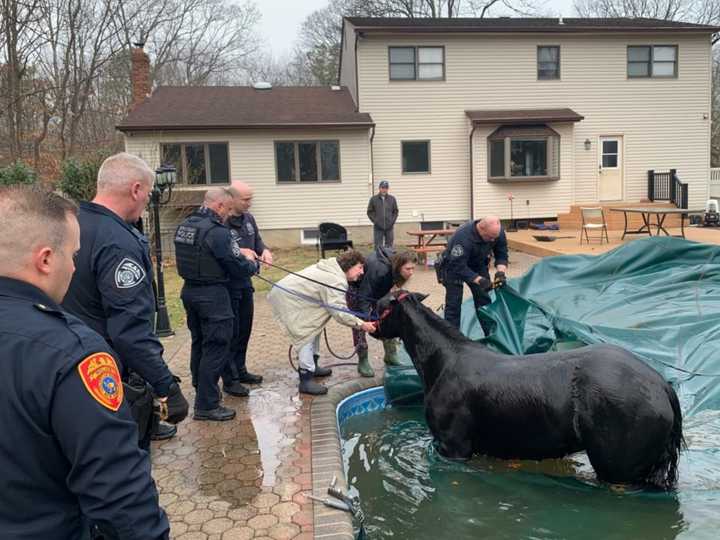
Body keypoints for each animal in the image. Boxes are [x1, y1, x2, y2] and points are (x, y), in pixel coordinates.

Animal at [374, 292, 684, 490]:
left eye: (381, 308)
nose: (370, 324)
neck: (445, 361)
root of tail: (661, 384)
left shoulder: (454, 447)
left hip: (618, 471)